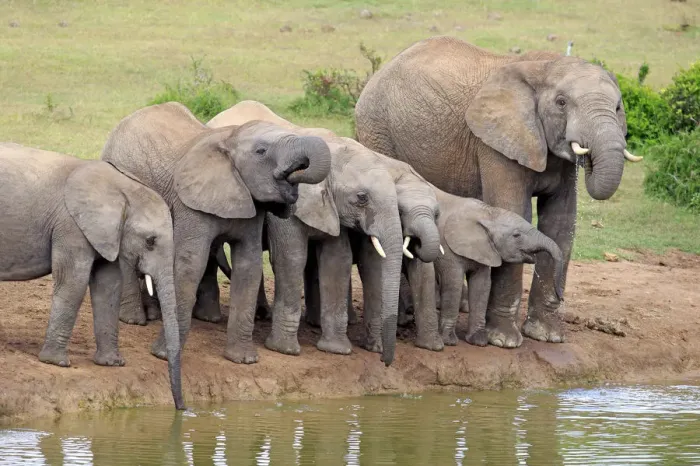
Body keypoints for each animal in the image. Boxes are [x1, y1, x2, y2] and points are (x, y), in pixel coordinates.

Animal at [0, 143, 184, 409]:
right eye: (150, 241)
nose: (182, 409)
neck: (122, 188)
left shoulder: (106, 234)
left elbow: (108, 286)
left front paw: (112, 364)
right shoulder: (71, 226)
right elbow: (73, 282)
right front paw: (57, 363)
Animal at [100, 101, 332, 364]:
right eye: (261, 151)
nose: (295, 175)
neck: (230, 139)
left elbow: (248, 266)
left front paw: (243, 360)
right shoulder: (190, 202)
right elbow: (191, 263)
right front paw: (163, 355)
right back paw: (134, 319)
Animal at [405, 186, 564, 351]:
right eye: (516, 235)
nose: (561, 295)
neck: (488, 213)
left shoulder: (485, 250)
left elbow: (482, 286)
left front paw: (479, 341)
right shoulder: (448, 248)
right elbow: (453, 283)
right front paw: (449, 341)